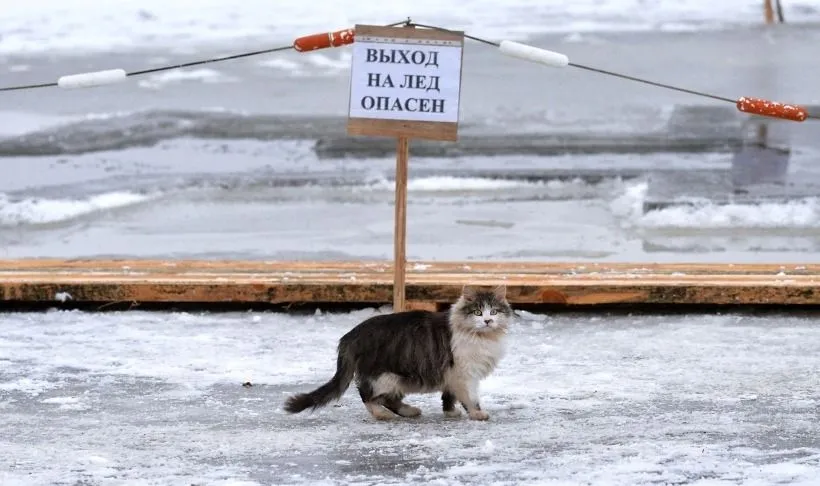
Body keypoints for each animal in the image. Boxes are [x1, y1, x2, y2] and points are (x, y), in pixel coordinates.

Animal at [282, 284, 512, 422]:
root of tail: (351, 335)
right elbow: (470, 398)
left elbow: (449, 396)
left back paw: (409, 411)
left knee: (387, 399)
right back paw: (382, 414)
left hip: (396, 379)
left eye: (494, 311)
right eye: (477, 312)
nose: (488, 321)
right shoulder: (465, 373)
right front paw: (477, 413)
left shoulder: (451, 375)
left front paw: (450, 412)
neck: (482, 337)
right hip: (385, 376)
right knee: (367, 395)